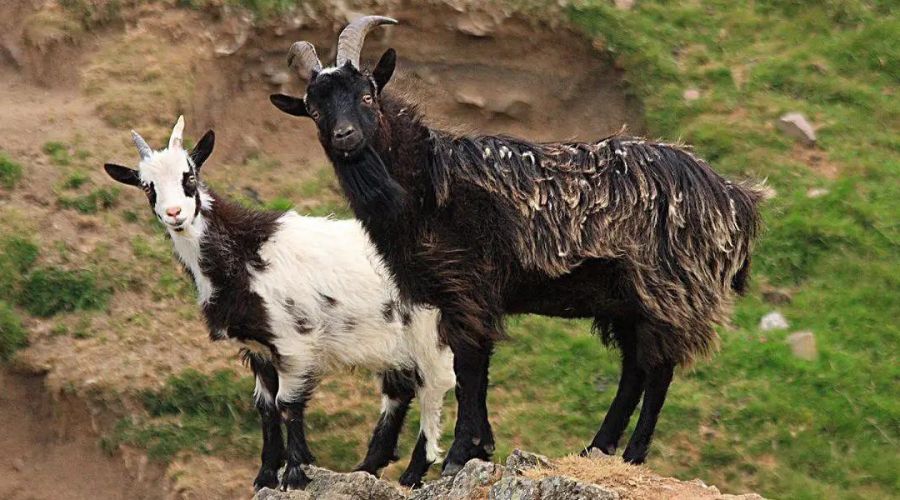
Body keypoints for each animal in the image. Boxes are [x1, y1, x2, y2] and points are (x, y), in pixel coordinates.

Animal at [104, 117, 454, 488]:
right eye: (147, 187)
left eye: (190, 177)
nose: (174, 214)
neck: (244, 253)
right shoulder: (257, 348)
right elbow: (266, 407)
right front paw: (266, 475)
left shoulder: (293, 342)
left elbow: (288, 403)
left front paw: (297, 473)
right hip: (391, 339)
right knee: (399, 391)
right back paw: (367, 467)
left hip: (430, 335)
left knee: (434, 387)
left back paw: (413, 473)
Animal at [270, 16, 764, 476]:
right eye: (314, 109)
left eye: (367, 95)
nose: (345, 136)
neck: (428, 183)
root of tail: (735, 198)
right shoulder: (462, 298)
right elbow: (477, 370)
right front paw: (480, 448)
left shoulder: (466, 288)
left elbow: (469, 370)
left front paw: (458, 456)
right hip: (626, 302)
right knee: (634, 370)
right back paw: (596, 449)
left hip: (670, 291)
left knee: (658, 370)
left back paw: (634, 455)